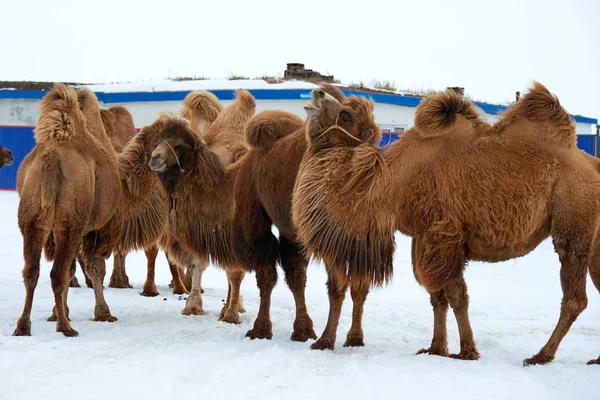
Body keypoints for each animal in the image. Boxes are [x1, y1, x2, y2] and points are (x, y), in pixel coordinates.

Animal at [14, 84, 122, 338]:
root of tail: (51, 157)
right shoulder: (92, 229)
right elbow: (94, 268)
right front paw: (103, 313)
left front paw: (56, 312)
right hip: (70, 222)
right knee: (59, 272)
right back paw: (65, 327)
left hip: (33, 219)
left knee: (32, 271)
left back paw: (23, 326)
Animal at [148, 89, 255, 320]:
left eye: (180, 146)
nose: (155, 158)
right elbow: (199, 262)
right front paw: (193, 305)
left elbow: (234, 269)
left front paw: (231, 312)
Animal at [230, 83, 352, 342]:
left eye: (344, 113)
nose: (319, 93)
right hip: (254, 208)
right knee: (270, 269)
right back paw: (266, 328)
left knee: (294, 271)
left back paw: (302, 330)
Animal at [292, 83, 600, 366]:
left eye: (345, 114)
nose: (317, 93)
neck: (389, 184)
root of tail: (593, 166)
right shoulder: (424, 237)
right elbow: (437, 296)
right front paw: (435, 347)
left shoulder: (444, 234)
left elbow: (455, 294)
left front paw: (466, 351)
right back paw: (593, 359)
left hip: (574, 223)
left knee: (574, 297)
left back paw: (541, 355)